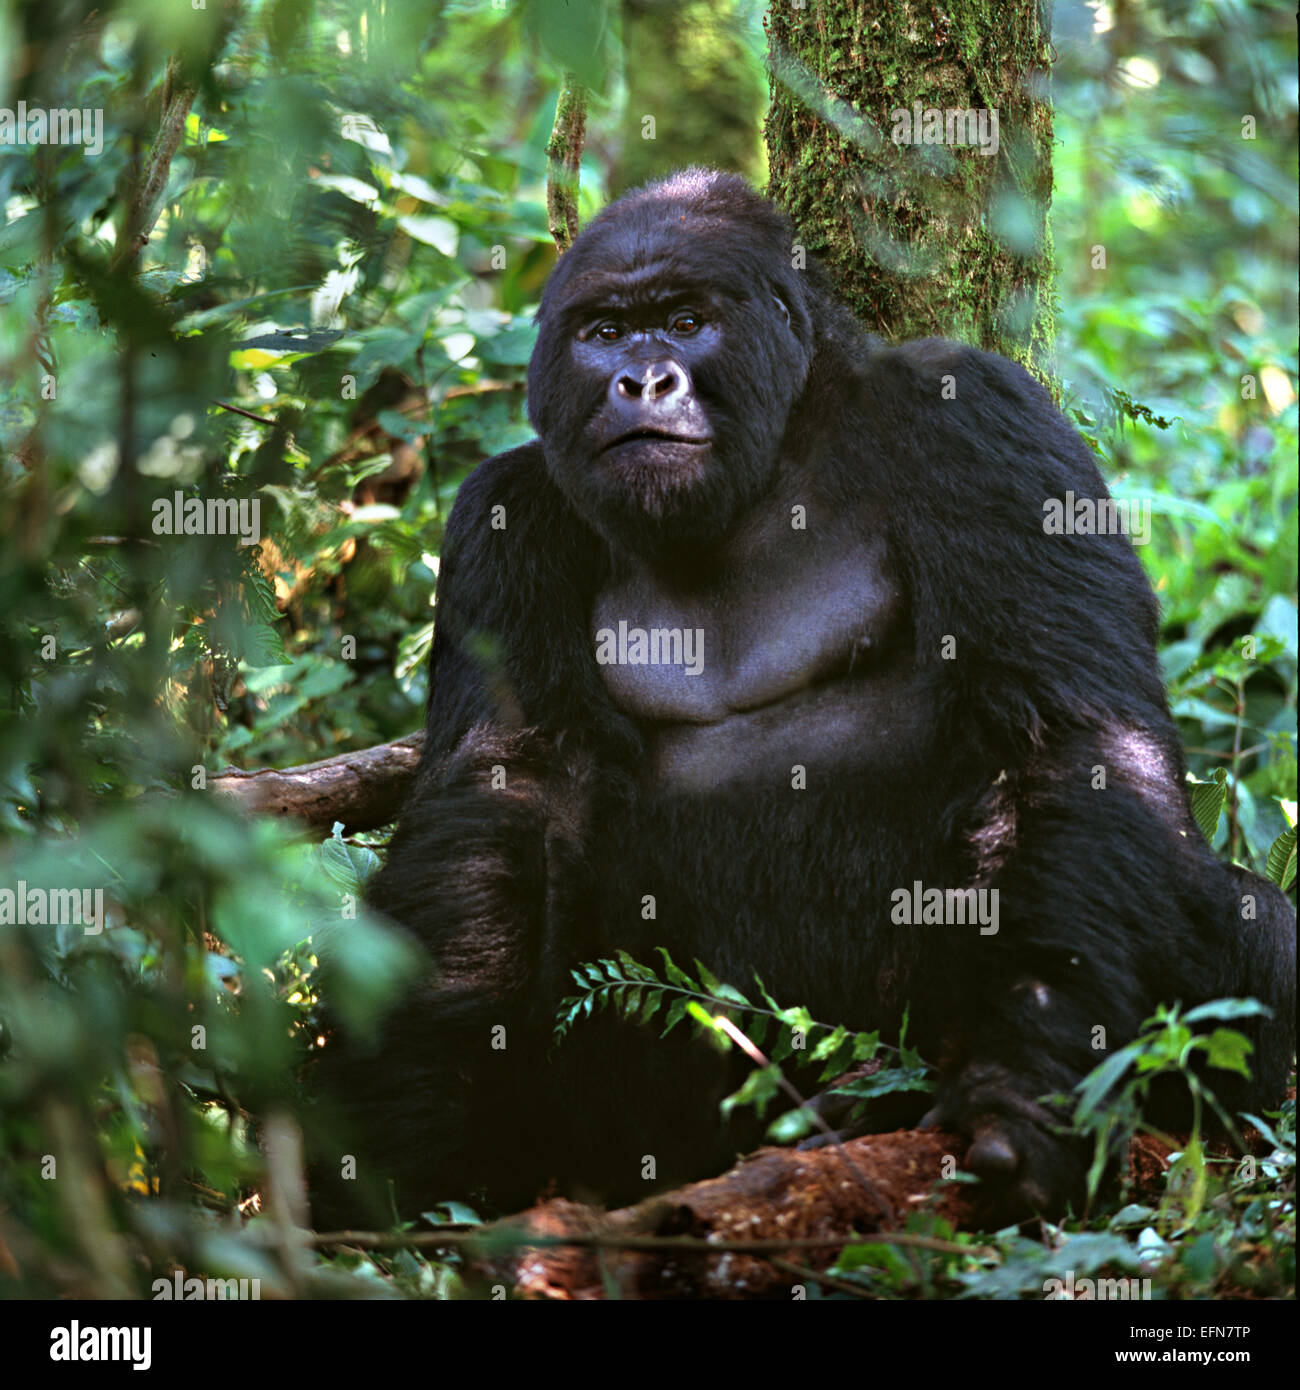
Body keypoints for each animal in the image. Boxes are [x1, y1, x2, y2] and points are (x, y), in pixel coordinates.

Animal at [318, 168, 1300, 1223]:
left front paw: (1025, 1076)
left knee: (1251, 919)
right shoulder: (502, 517)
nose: (643, 381)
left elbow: (1069, 736)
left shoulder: (976, 413)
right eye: (605, 331)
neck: (778, 449)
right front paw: (404, 1128)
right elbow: (502, 795)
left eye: (687, 320)